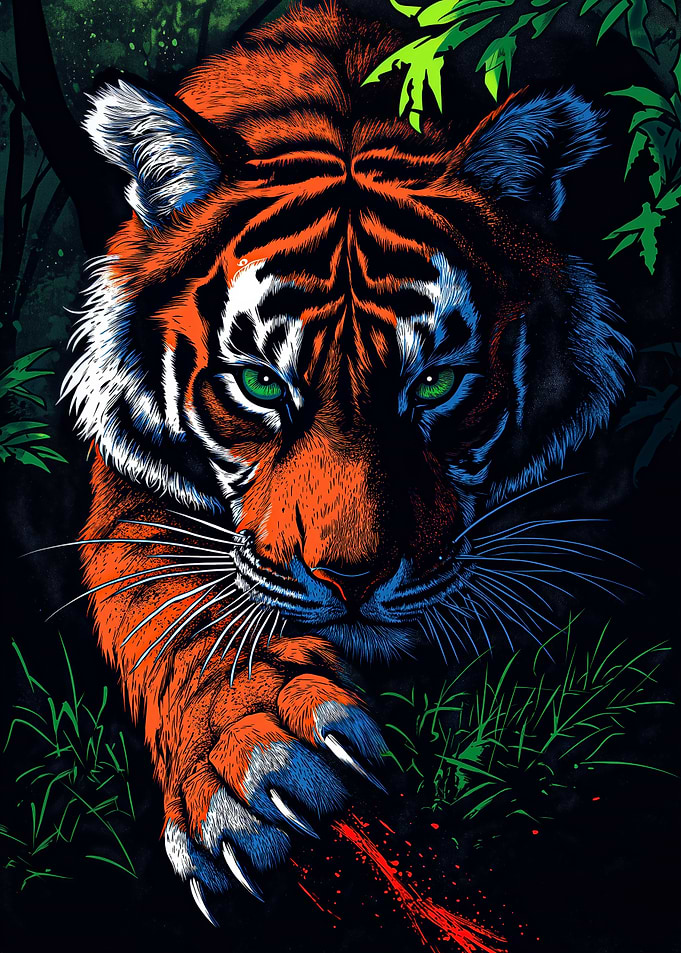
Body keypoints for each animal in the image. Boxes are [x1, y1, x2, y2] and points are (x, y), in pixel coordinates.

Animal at [62, 0, 632, 924]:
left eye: (433, 381)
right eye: (260, 381)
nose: (351, 577)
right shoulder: (131, 490)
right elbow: (163, 599)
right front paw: (255, 756)